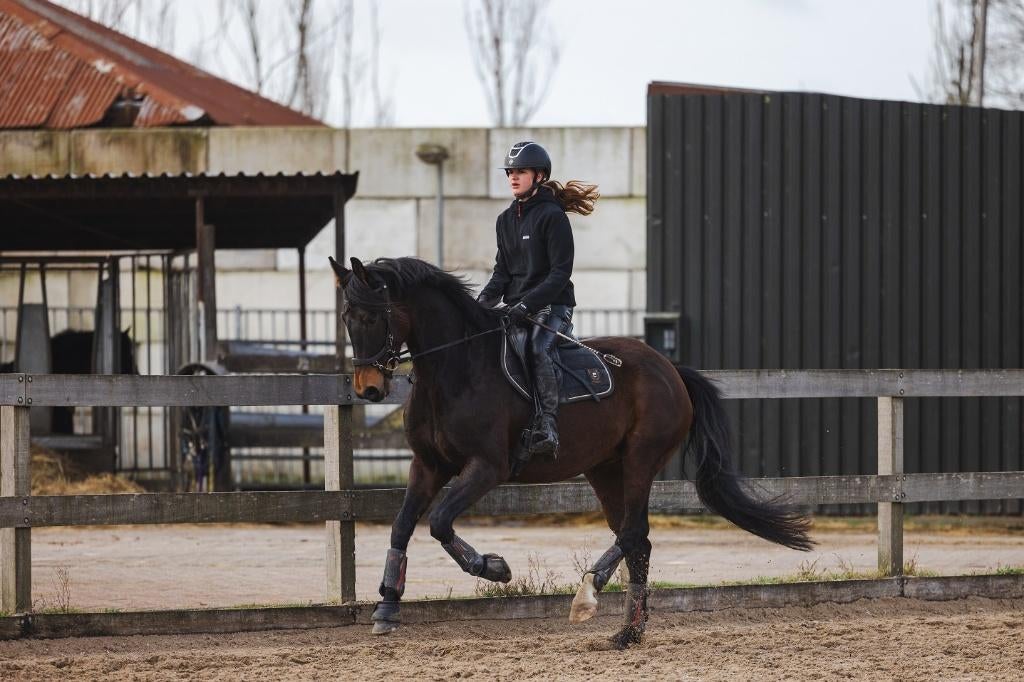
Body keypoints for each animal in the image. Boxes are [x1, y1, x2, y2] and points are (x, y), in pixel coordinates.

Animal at [330, 256, 813, 649]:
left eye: (372, 316)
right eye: (347, 317)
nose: (368, 389)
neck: (455, 369)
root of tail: (670, 368)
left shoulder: (486, 467)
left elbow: (440, 522)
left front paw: (495, 568)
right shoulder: (428, 465)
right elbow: (403, 525)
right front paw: (387, 607)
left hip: (640, 461)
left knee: (633, 533)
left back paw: (591, 595)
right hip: (605, 470)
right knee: (637, 540)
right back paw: (627, 632)